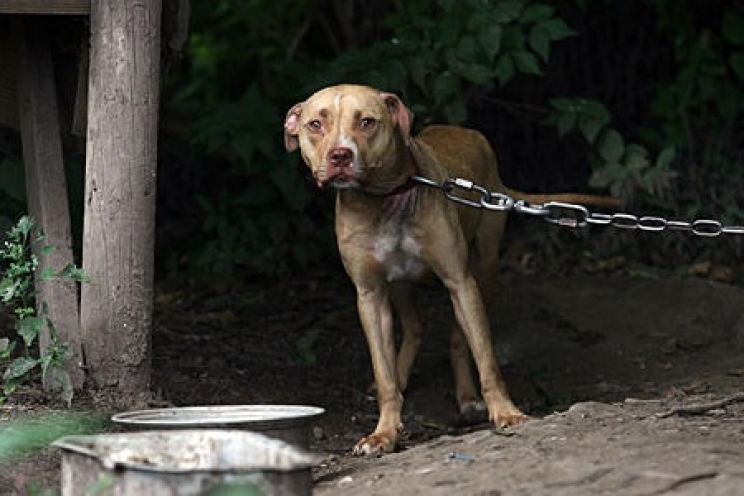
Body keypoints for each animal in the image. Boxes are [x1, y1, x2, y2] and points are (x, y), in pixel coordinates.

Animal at [282, 84, 620, 454]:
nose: (340, 155)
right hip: (400, 286)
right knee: (414, 327)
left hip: (482, 272)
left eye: (367, 121)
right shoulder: (370, 296)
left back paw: (468, 398)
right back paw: (403, 377)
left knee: (459, 339)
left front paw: (506, 412)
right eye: (315, 124)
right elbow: (384, 374)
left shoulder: (460, 281)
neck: (385, 200)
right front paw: (383, 432)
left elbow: (487, 360)